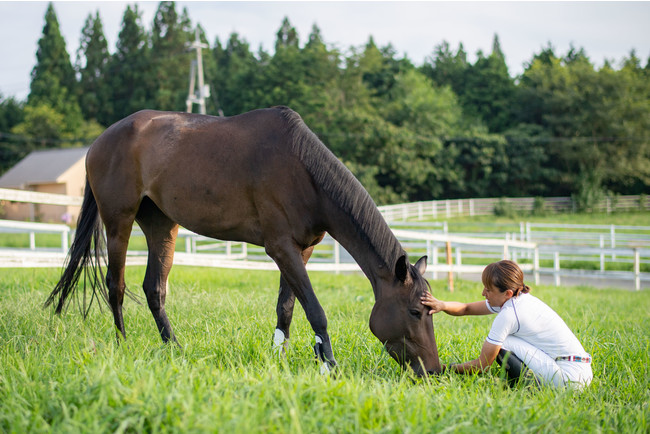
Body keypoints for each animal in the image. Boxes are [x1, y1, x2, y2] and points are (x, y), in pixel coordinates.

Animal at [45, 106, 440, 376]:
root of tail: (99, 142)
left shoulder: (301, 250)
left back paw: (174, 349)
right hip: (118, 221)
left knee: (153, 289)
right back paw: (123, 344)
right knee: (116, 284)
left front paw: (280, 358)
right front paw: (328, 364)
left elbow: (286, 308)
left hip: (161, 226)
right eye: (415, 311)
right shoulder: (280, 247)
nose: (433, 370)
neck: (303, 171)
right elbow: (315, 309)